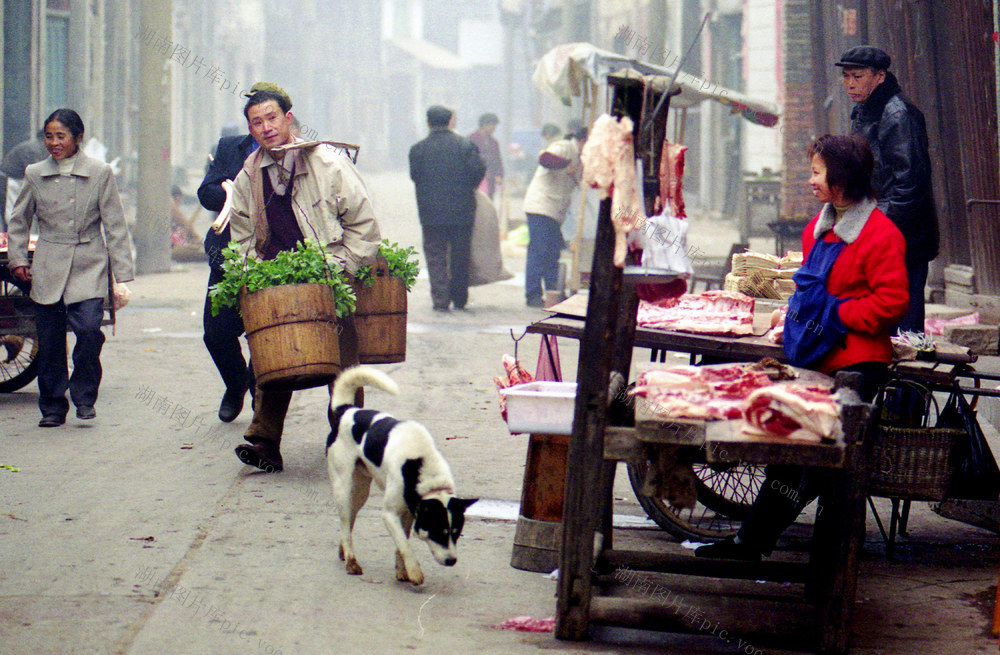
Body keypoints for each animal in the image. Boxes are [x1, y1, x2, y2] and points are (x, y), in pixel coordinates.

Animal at [326, 366, 478, 588]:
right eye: (438, 531)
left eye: (457, 532)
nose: (452, 561)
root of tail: (347, 410)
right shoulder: (390, 514)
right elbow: (405, 545)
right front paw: (414, 572)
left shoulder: (409, 512)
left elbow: (401, 543)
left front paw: (401, 570)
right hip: (343, 487)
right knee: (345, 522)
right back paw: (351, 561)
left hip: (360, 491)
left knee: (350, 520)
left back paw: (343, 551)